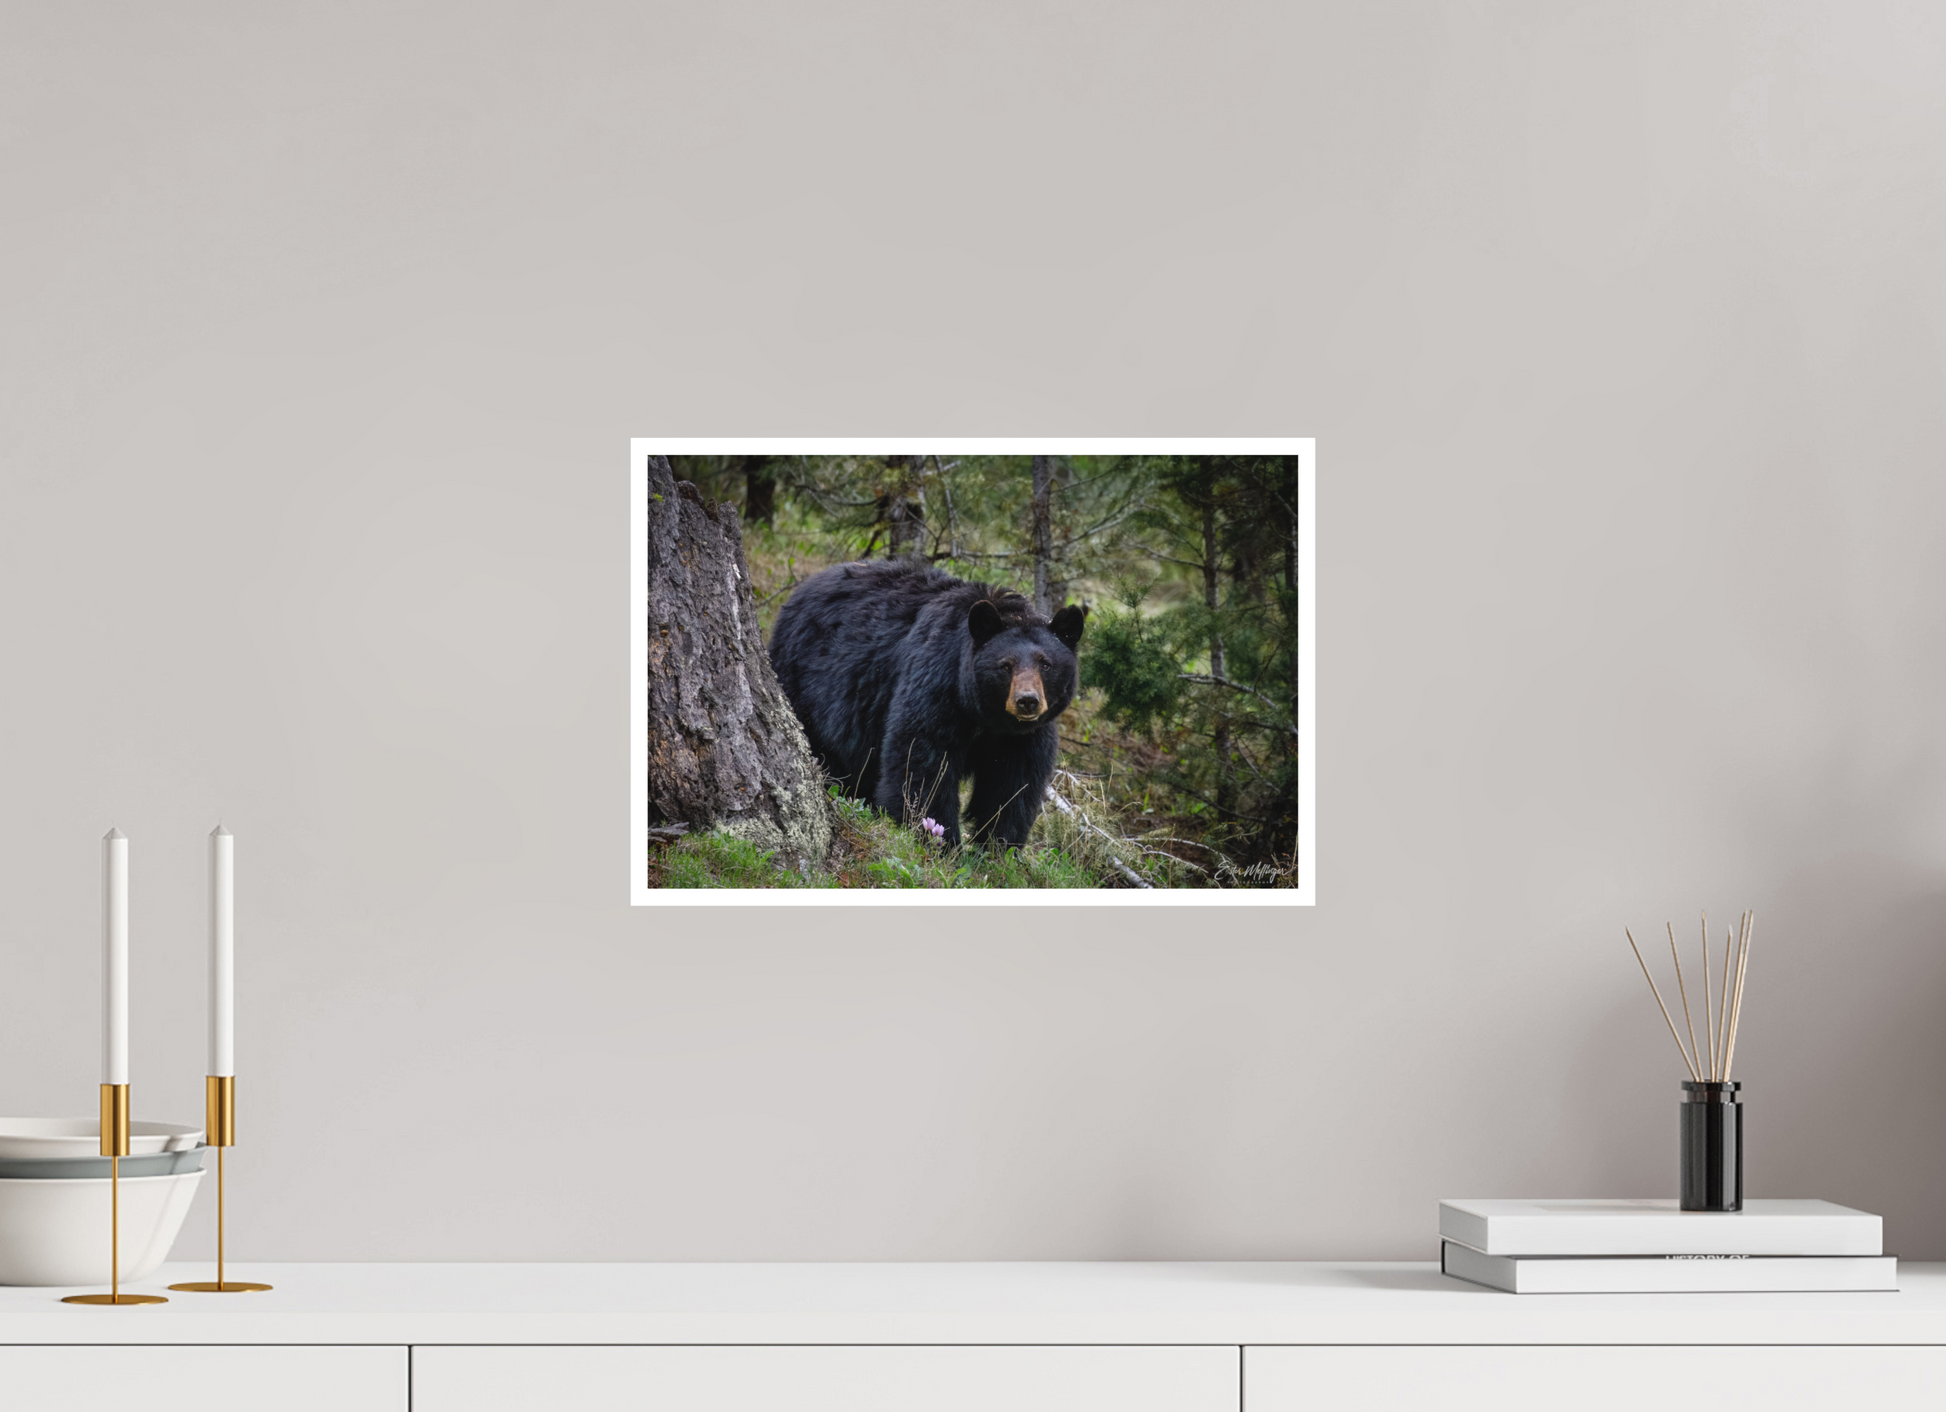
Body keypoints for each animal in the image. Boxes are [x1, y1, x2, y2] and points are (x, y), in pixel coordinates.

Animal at [769, 559, 1087, 849]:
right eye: (1005, 666)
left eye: (1045, 664)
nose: (1027, 701)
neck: (986, 717)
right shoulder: (936, 684)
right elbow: (922, 760)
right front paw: (940, 840)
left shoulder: (1023, 737)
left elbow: (1012, 784)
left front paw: (998, 848)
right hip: (804, 681)